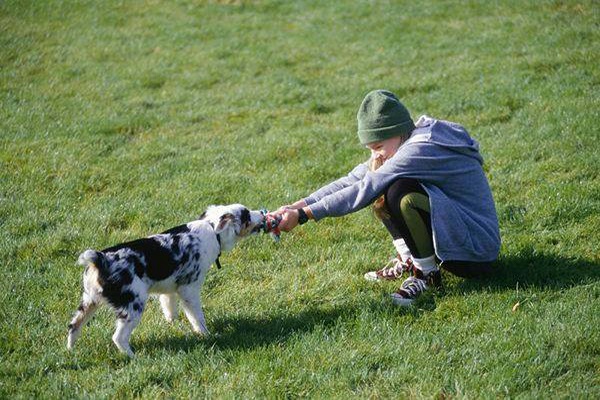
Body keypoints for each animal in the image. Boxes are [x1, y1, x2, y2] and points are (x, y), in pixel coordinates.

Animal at [67, 205, 262, 358]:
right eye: (246, 215)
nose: (262, 212)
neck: (213, 229)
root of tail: (100, 260)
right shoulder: (189, 289)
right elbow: (197, 317)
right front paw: (205, 335)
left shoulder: (170, 289)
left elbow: (169, 308)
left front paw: (172, 323)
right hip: (133, 306)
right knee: (118, 337)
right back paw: (133, 357)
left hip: (89, 301)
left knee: (73, 326)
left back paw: (71, 350)